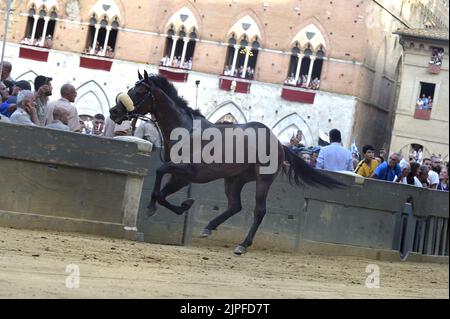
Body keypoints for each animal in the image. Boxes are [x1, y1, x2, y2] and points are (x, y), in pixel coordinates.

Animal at [110, 72, 344, 255]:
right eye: (132, 88)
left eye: (140, 91)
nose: (114, 111)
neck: (185, 131)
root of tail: (279, 143)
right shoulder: (180, 177)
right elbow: (162, 193)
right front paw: (183, 205)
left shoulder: (187, 171)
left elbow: (158, 173)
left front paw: (152, 207)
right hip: (234, 179)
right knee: (235, 205)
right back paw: (208, 227)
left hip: (263, 180)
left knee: (259, 211)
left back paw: (243, 245)